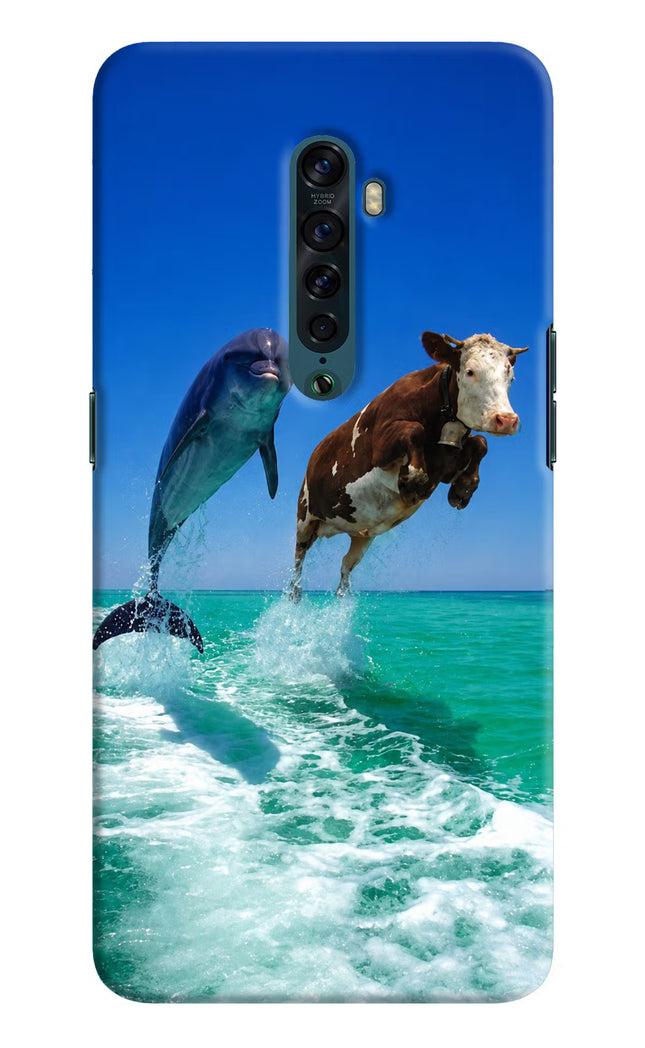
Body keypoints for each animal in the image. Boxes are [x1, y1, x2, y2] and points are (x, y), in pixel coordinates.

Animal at [289, 330, 528, 600]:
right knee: (298, 560)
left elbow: (480, 442)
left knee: (345, 565)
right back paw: (295, 594)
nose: (506, 420)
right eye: (470, 371)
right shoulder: (380, 446)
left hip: (361, 534)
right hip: (304, 516)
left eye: (510, 375)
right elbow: (414, 430)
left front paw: (463, 489)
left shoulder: (446, 465)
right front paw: (413, 479)